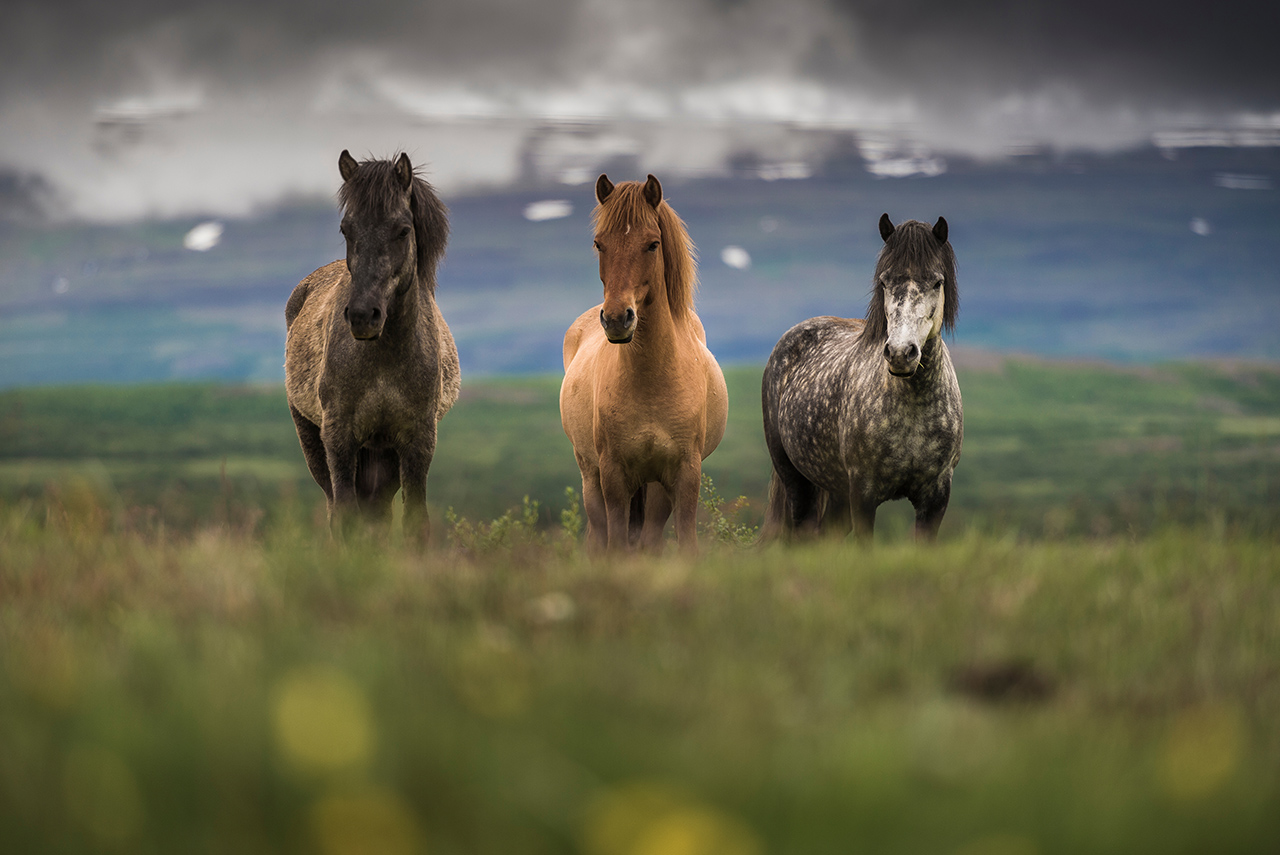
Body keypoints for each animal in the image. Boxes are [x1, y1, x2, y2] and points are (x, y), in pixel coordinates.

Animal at [284, 150, 459, 541]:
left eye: (403, 230)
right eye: (346, 229)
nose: (364, 315)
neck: (385, 359)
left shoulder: (417, 441)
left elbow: (415, 521)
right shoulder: (339, 438)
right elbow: (345, 517)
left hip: (384, 457)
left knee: (377, 513)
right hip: (314, 441)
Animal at [560, 174, 728, 554]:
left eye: (652, 244)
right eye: (599, 243)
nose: (616, 319)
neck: (652, 378)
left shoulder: (684, 473)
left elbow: (684, 542)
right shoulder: (613, 474)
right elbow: (616, 544)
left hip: (655, 488)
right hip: (591, 475)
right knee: (598, 535)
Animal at [761, 213, 962, 542]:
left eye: (937, 282)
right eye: (884, 281)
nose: (900, 352)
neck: (913, 408)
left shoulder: (936, 496)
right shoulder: (863, 494)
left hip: (835, 490)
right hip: (796, 478)